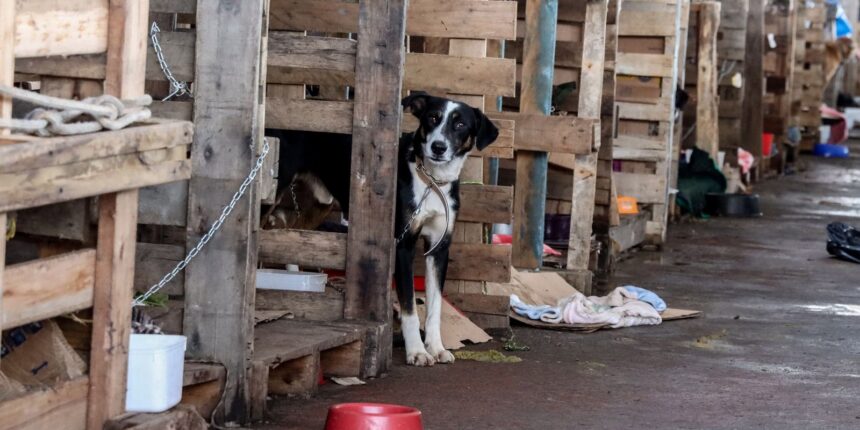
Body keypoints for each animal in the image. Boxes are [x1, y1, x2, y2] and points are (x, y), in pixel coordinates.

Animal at [268, 91, 498, 366]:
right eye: (432, 118)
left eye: (460, 124)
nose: (438, 147)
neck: (431, 182)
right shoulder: (403, 245)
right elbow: (410, 307)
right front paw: (417, 351)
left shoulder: (439, 248)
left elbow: (435, 307)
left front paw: (436, 347)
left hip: (319, 203)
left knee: (292, 234)